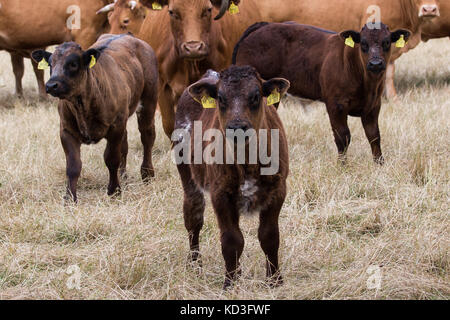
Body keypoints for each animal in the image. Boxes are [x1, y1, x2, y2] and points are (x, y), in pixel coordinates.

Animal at [31, 33, 158, 201]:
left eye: (73, 64)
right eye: (51, 64)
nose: (51, 85)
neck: (83, 106)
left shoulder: (115, 127)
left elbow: (111, 159)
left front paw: (114, 191)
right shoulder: (66, 130)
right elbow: (73, 165)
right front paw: (70, 197)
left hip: (148, 102)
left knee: (147, 137)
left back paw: (147, 174)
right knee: (125, 144)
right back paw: (123, 175)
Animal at [171, 66, 290, 288]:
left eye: (256, 96)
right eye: (220, 98)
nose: (236, 128)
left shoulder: (278, 190)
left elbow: (270, 236)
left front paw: (275, 280)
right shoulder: (220, 194)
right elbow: (232, 240)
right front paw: (230, 282)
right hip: (187, 176)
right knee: (193, 218)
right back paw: (195, 265)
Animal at [234, 22, 414, 164]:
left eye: (386, 42)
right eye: (363, 43)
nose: (375, 63)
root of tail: (263, 25)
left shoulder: (373, 105)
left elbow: (374, 136)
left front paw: (380, 164)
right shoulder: (336, 105)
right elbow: (343, 136)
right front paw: (342, 166)